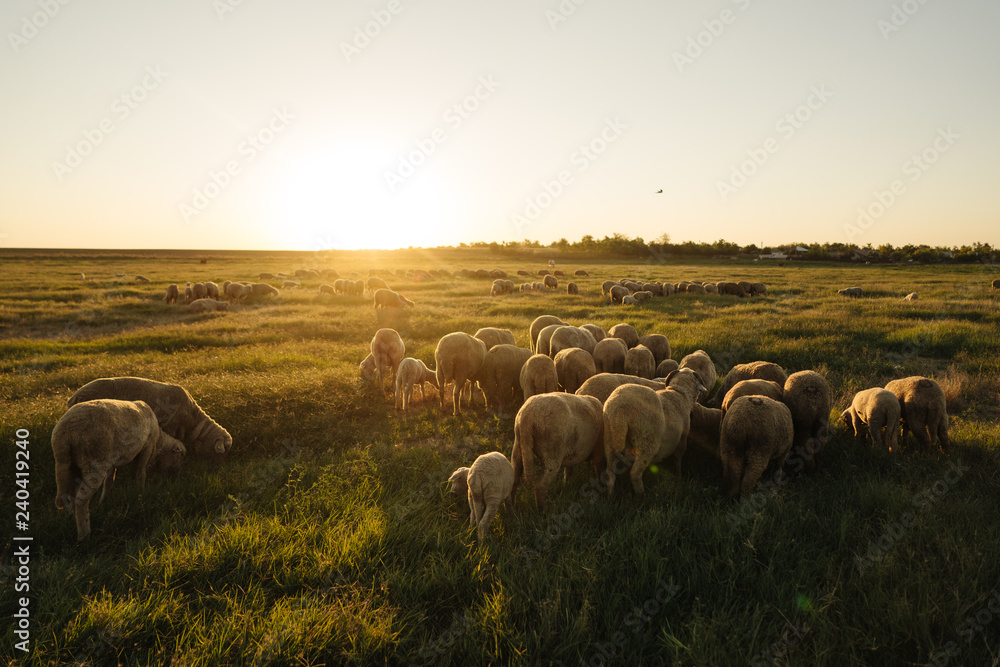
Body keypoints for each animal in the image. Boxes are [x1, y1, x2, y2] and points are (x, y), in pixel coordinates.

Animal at [52, 398, 186, 541]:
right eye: (181, 456)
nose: (178, 475)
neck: (159, 441)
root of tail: (66, 434)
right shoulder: (147, 447)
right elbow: (141, 473)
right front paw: (141, 492)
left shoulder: (112, 462)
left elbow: (110, 482)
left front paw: (102, 503)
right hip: (94, 461)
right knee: (81, 500)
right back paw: (84, 535)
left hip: (68, 465)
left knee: (70, 496)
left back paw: (74, 520)